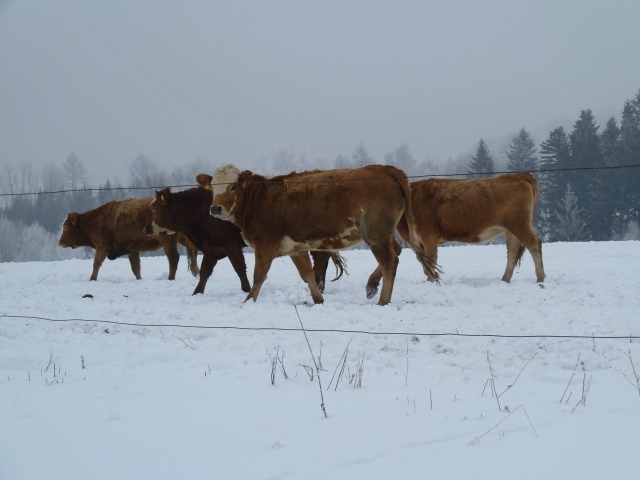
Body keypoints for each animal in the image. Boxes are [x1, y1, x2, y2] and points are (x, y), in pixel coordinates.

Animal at [368, 172, 544, 286]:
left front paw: (431, 282)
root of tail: (519, 175)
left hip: (519, 224)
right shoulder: (418, 242)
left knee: (534, 244)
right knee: (513, 252)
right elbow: (424, 263)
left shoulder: (428, 237)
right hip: (511, 229)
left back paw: (540, 278)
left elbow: (431, 262)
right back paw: (505, 280)